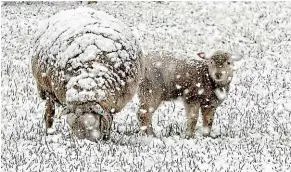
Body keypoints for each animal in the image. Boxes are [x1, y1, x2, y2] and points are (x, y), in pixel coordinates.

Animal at [31, 7, 143, 141]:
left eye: (92, 124)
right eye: (71, 125)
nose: (83, 142)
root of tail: (80, 8)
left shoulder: (112, 103)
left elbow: (108, 119)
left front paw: (107, 136)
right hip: (46, 88)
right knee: (49, 110)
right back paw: (49, 131)